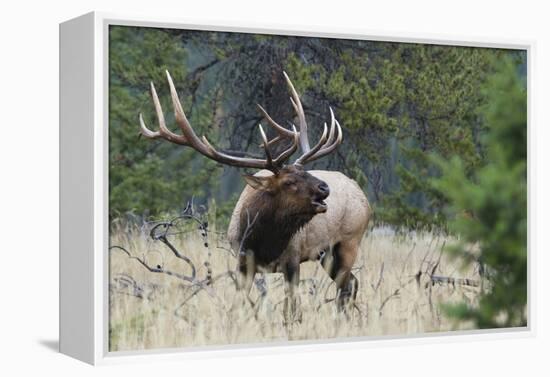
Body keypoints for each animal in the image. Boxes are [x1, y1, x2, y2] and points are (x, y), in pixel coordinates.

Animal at [138, 70, 374, 320]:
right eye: (289, 181)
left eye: (306, 172)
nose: (325, 188)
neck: (263, 240)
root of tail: (361, 193)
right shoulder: (243, 261)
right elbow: (241, 304)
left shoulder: (292, 259)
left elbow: (291, 310)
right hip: (325, 253)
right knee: (351, 283)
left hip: (349, 242)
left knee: (346, 285)